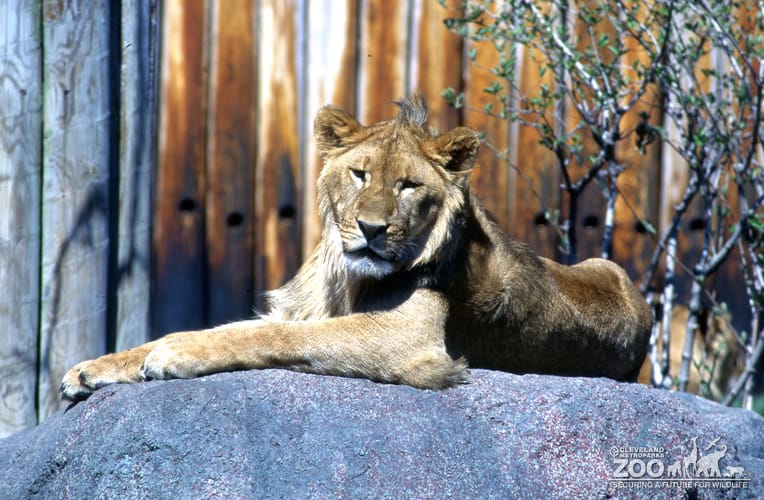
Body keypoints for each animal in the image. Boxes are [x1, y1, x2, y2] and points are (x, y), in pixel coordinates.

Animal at [61, 94, 652, 401]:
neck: (343, 276)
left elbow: (270, 338)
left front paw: (174, 354)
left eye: (408, 186)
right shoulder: (298, 308)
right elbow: (228, 328)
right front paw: (96, 367)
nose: (371, 229)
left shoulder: (409, 339)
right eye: (359, 173)